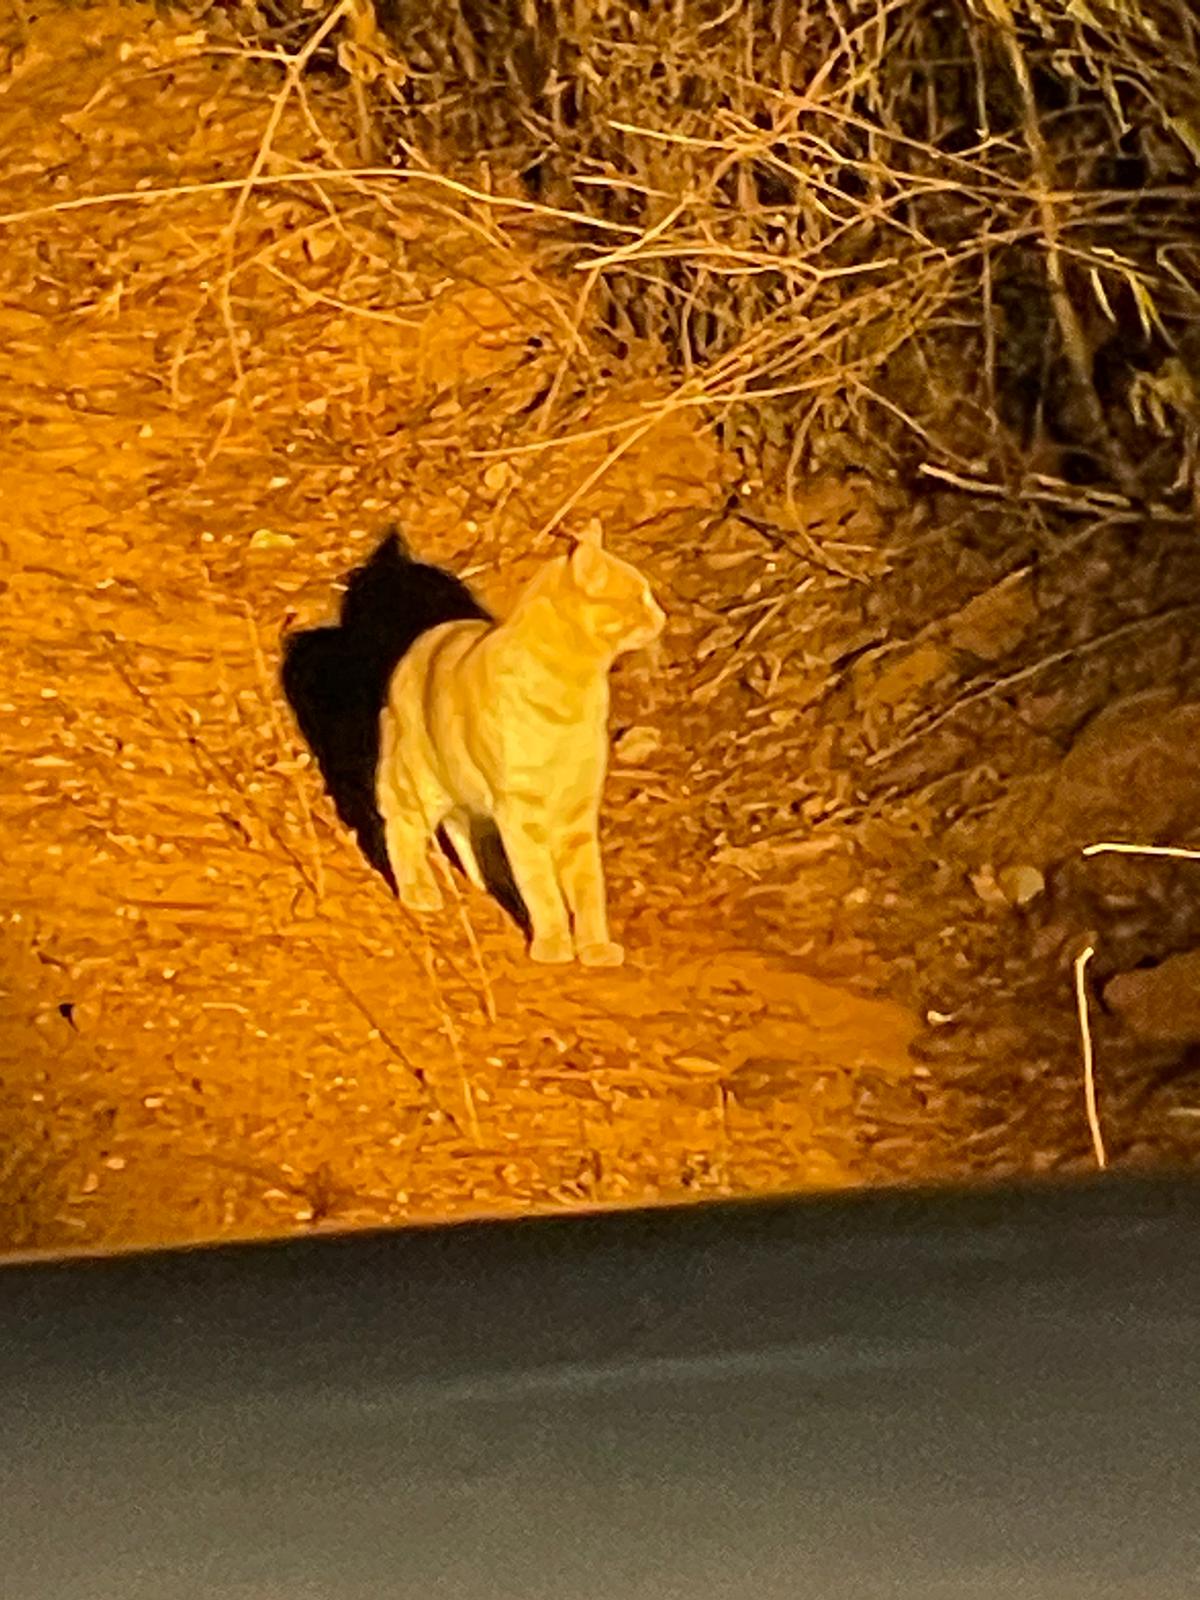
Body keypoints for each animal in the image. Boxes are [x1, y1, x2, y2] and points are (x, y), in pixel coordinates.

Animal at [377, 531, 668, 966]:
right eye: (638, 597)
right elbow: (542, 887)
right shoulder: (520, 810)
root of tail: (418, 644)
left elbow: (589, 890)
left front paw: (594, 947)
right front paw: (554, 943)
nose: (662, 615)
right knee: (403, 829)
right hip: (417, 781)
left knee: (465, 836)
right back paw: (419, 891)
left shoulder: (576, 813)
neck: (573, 692)